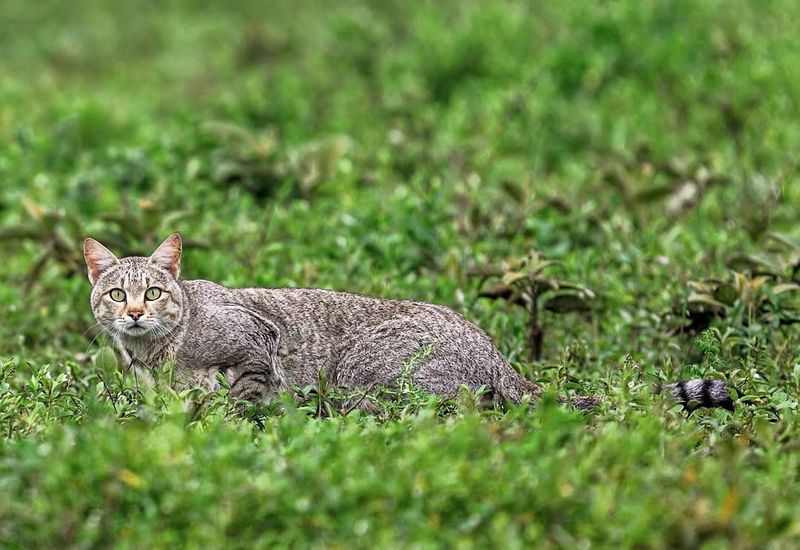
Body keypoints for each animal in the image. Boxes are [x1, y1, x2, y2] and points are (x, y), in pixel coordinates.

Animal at [84, 234, 736, 414]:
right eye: (116, 293)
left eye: (154, 292)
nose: (135, 313)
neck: (158, 352)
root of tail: (494, 350)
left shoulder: (257, 344)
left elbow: (245, 395)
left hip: (361, 365)